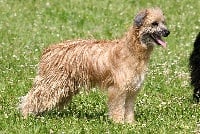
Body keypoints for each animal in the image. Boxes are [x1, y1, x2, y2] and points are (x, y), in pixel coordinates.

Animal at [18, 7, 170, 122]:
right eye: (154, 23)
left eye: (163, 22)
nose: (167, 32)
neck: (132, 49)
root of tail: (49, 50)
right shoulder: (118, 90)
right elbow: (118, 108)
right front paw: (119, 124)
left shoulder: (132, 90)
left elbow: (128, 110)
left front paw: (130, 124)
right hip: (53, 84)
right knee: (32, 98)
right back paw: (25, 116)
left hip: (64, 88)